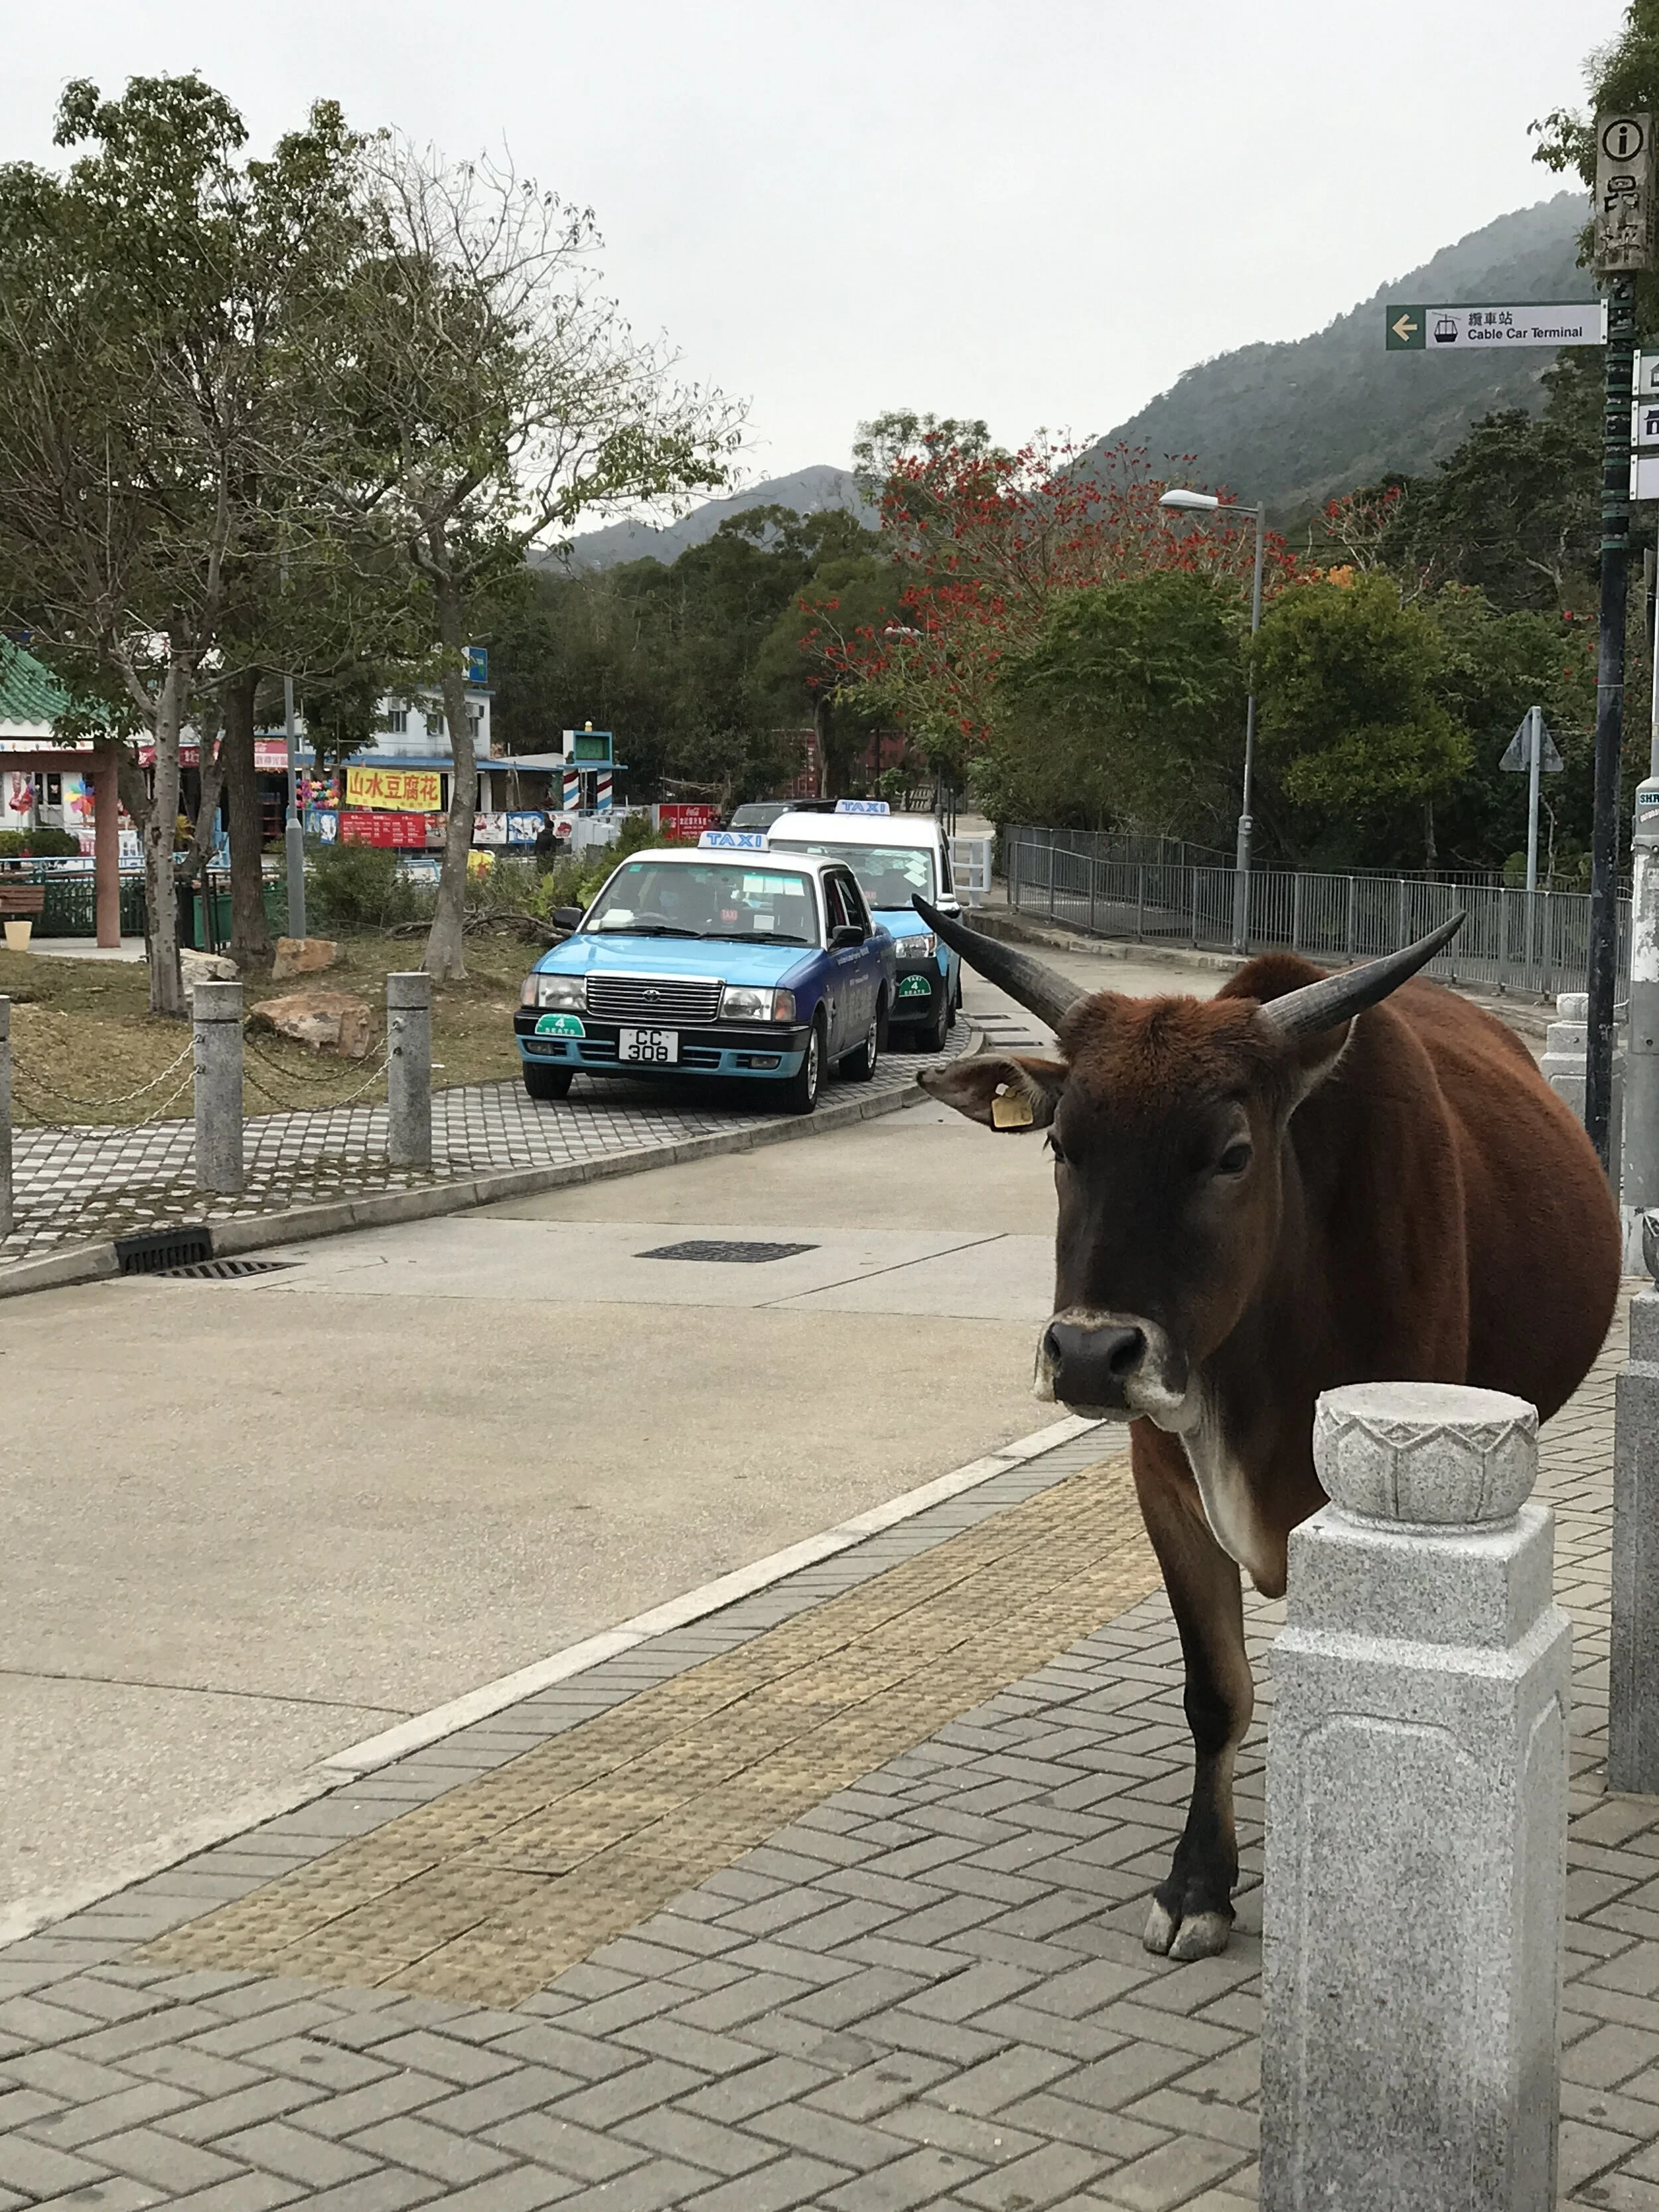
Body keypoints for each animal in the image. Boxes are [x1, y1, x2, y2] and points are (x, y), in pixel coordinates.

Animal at [913, 895, 1620, 1962]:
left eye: (1232, 1154)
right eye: (1063, 1147)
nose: (1089, 1354)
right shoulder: (1162, 1487)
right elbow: (1216, 1693)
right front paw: (1199, 1881)